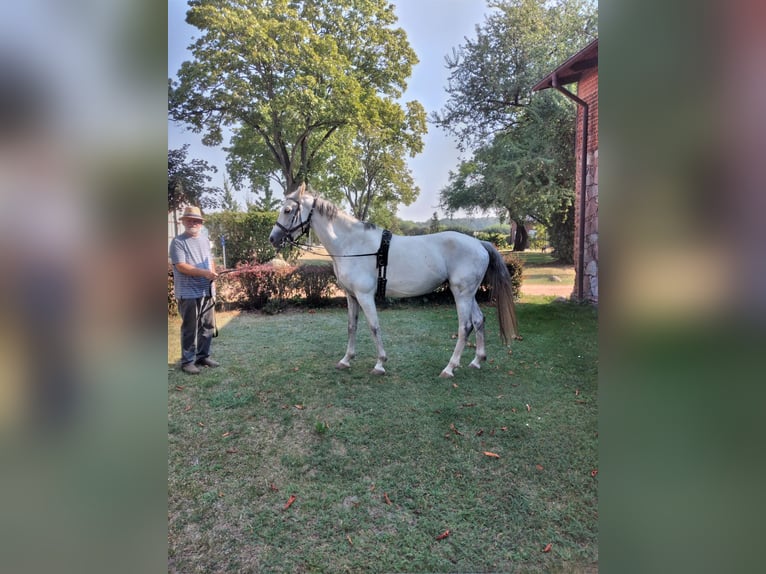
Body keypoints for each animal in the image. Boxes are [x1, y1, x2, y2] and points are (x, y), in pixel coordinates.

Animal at [272, 183, 520, 378]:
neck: (352, 245)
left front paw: (380, 363)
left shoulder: (365, 296)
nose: (273, 238)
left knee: (465, 326)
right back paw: (477, 361)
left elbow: (374, 327)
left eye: (287, 210)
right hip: (469, 293)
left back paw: (450, 368)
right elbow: (352, 326)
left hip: (462, 294)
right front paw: (346, 359)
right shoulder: (351, 296)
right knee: (478, 321)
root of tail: (480, 243)